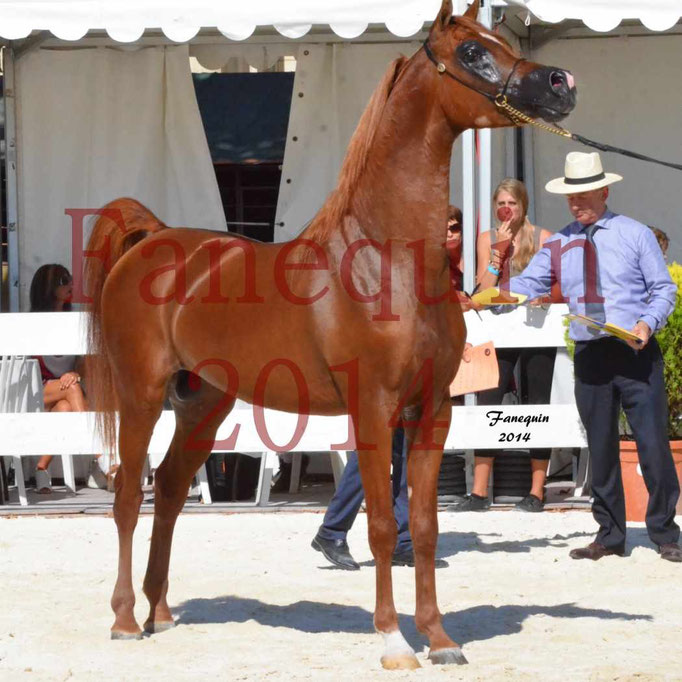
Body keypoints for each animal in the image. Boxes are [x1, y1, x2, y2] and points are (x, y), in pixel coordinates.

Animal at [85, 0, 572, 668]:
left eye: (503, 40)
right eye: (473, 51)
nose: (559, 83)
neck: (387, 260)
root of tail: (153, 239)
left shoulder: (433, 411)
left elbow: (424, 527)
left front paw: (440, 639)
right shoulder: (372, 411)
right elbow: (381, 527)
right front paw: (393, 640)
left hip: (204, 405)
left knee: (171, 493)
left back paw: (160, 611)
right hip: (141, 395)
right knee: (129, 496)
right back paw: (126, 620)